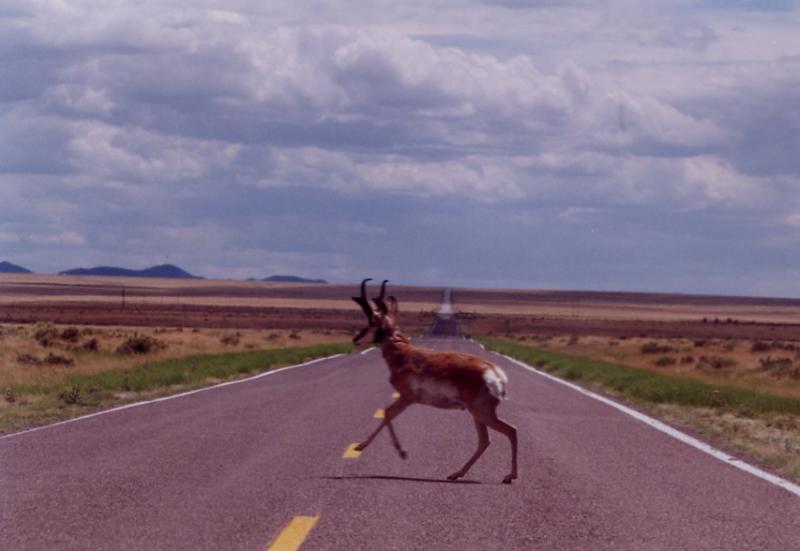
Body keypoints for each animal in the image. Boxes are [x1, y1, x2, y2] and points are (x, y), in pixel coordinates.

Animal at [352, 280, 520, 484]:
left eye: (371, 321)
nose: (355, 339)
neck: (403, 354)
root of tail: (495, 372)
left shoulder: (407, 398)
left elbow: (387, 413)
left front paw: (389, 450)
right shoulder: (407, 399)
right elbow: (388, 413)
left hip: (482, 412)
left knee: (510, 431)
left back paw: (509, 476)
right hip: (477, 414)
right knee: (485, 440)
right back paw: (456, 473)